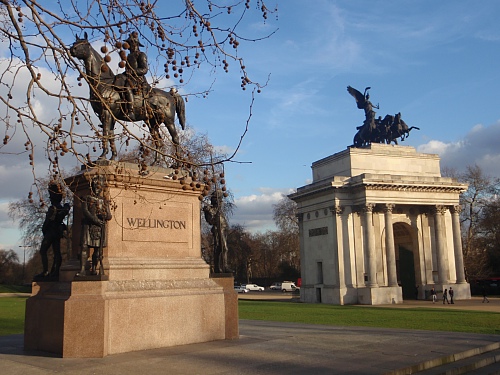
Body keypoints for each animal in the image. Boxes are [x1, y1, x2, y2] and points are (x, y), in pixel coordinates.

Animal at [69, 32, 185, 162]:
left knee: (175, 139)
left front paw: (103, 156)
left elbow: (105, 133)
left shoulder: (106, 113)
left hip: (168, 120)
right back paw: (156, 162)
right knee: (158, 140)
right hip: (152, 122)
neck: (104, 83)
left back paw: (177, 164)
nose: (72, 49)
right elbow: (111, 135)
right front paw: (112, 156)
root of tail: (171, 95)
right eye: (75, 42)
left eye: (84, 43)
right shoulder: (110, 116)